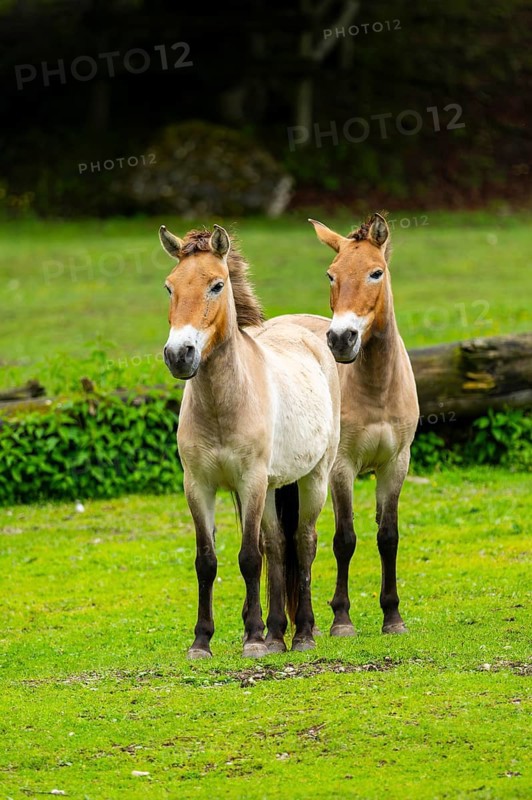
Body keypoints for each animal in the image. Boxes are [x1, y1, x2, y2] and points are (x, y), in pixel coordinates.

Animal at [159, 223, 341, 658]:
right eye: (170, 286)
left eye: (216, 285)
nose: (179, 354)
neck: (223, 405)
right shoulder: (199, 486)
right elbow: (207, 561)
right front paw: (202, 641)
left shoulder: (251, 482)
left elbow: (248, 557)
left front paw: (253, 640)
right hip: (275, 487)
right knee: (277, 545)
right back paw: (277, 635)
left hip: (314, 478)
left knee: (303, 543)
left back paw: (303, 634)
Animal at [272, 212, 419, 635]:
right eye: (331, 275)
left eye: (376, 272)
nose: (341, 338)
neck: (377, 388)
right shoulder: (342, 468)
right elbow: (345, 539)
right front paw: (341, 618)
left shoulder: (396, 465)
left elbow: (388, 536)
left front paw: (393, 616)